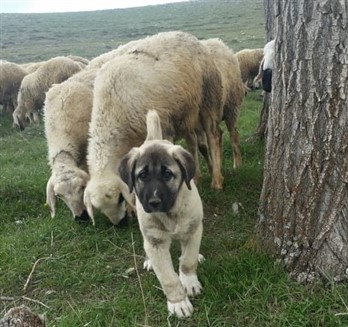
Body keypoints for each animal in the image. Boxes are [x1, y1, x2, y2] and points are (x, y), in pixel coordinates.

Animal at [83, 30, 222, 226]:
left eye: (119, 198)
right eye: (99, 209)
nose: (120, 225)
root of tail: (189, 36)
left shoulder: (163, 127)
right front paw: (132, 209)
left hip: (208, 96)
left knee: (213, 136)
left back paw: (217, 180)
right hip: (186, 110)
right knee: (193, 141)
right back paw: (196, 177)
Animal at [119, 111, 204, 320]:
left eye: (167, 174)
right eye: (142, 176)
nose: (154, 202)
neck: (170, 213)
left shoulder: (193, 229)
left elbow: (188, 260)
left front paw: (189, 282)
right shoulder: (156, 243)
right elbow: (168, 278)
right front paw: (178, 302)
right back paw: (149, 260)